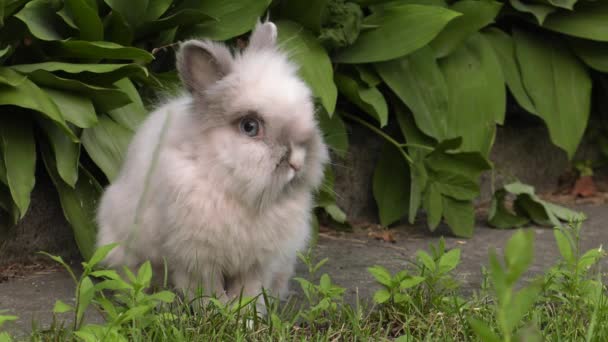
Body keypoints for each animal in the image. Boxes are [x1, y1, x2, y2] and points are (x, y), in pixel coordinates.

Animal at [95, 19, 330, 308]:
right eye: (250, 126)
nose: (297, 162)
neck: (235, 191)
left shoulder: (260, 262)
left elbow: (250, 289)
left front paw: (245, 314)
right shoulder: (196, 258)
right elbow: (207, 288)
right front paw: (216, 309)